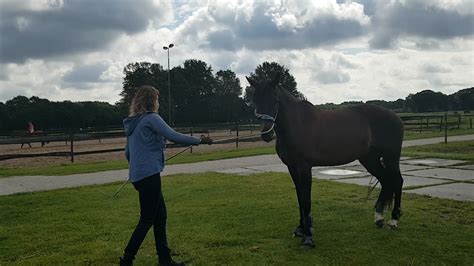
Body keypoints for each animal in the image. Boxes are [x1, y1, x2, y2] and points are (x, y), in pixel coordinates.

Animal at [246, 74, 406, 247]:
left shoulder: (304, 167)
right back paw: (379, 218)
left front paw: (308, 237)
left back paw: (393, 220)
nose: (266, 134)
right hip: (369, 159)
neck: (297, 124)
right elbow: (299, 198)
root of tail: (396, 117)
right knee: (386, 181)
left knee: (397, 181)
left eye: (275, 100)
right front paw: (301, 228)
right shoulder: (292, 167)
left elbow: (306, 200)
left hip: (391, 157)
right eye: (255, 100)